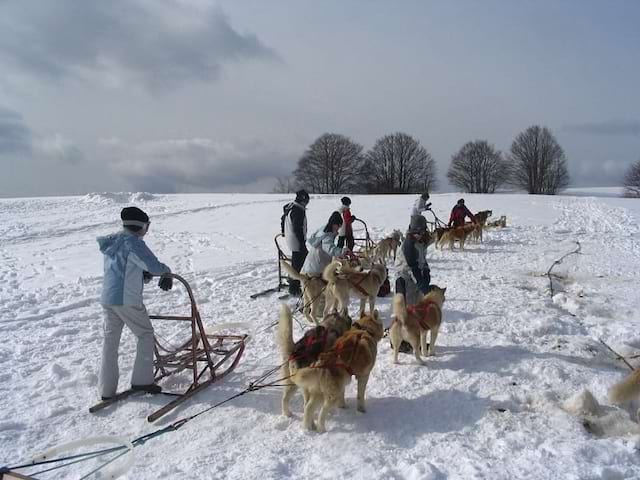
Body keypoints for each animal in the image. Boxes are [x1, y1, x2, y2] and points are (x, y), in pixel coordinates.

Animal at [278, 306, 382, 434]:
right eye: (350, 320)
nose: (351, 323)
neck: (364, 330)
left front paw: (342, 406)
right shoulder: (363, 376)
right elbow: (360, 395)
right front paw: (361, 409)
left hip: (300, 385)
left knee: (297, 403)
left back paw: (295, 419)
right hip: (325, 393)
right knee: (317, 409)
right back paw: (318, 427)